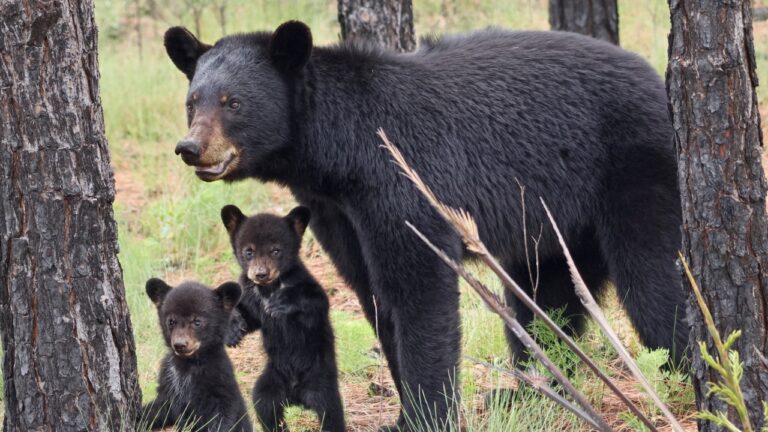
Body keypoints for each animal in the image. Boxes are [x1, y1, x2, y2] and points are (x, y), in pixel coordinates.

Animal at [142, 278, 252, 432]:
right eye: (171, 321)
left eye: (197, 321)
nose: (180, 344)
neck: (188, 363)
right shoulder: (168, 382)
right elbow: (159, 409)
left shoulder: (218, 381)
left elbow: (221, 416)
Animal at [221, 204, 345, 432]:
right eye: (248, 251)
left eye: (276, 250)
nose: (261, 274)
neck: (267, 288)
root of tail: (296, 395)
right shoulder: (250, 294)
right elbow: (249, 316)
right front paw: (233, 331)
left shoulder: (306, 285)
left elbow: (317, 302)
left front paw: (280, 303)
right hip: (271, 381)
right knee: (265, 405)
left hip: (321, 382)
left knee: (331, 412)